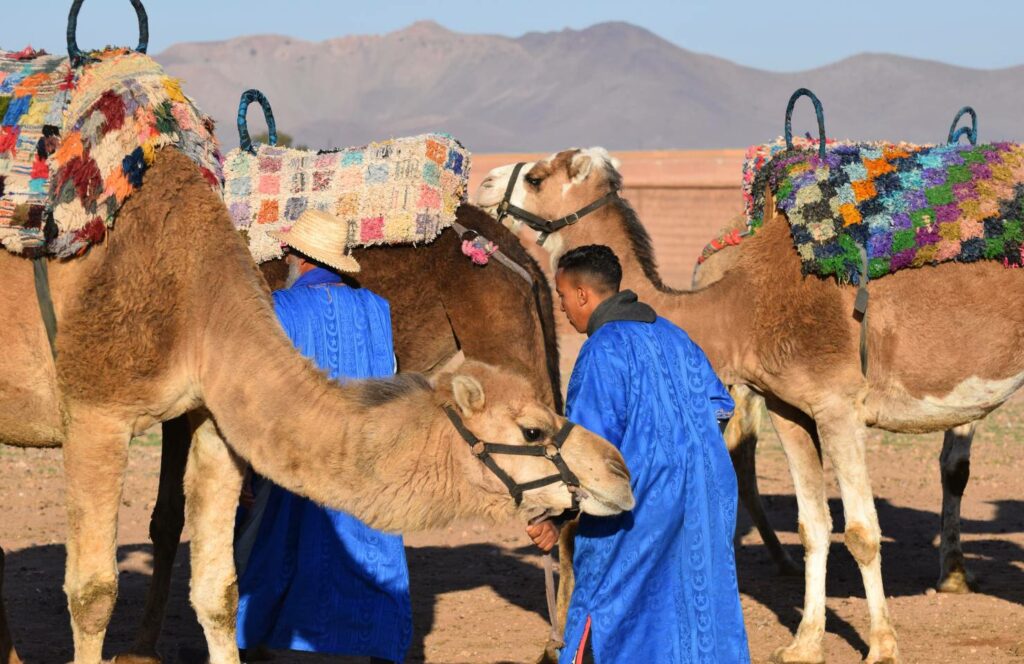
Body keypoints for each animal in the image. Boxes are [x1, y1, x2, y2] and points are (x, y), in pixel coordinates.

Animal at [0, 150, 636, 664]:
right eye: (530, 433)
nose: (618, 470)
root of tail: (517, 262)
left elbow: (177, 538)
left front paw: (146, 649)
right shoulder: (140, 406)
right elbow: (152, 546)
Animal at [475, 147, 1024, 663]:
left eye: (536, 177)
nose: (483, 183)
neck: (741, 309)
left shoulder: (839, 404)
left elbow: (862, 532)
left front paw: (883, 647)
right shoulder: (790, 407)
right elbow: (814, 527)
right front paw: (804, 644)